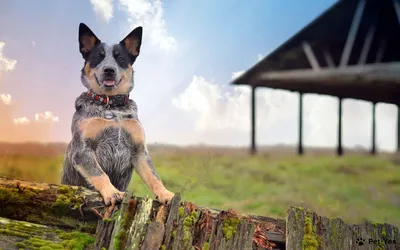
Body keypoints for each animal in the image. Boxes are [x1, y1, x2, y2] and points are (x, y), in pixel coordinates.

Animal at [61, 23, 175, 211]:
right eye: (98, 57)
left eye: (120, 57)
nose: (109, 70)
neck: (112, 107)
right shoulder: (82, 150)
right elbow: (99, 173)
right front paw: (112, 193)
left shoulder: (139, 150)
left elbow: (154, 176)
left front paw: (165, 194)